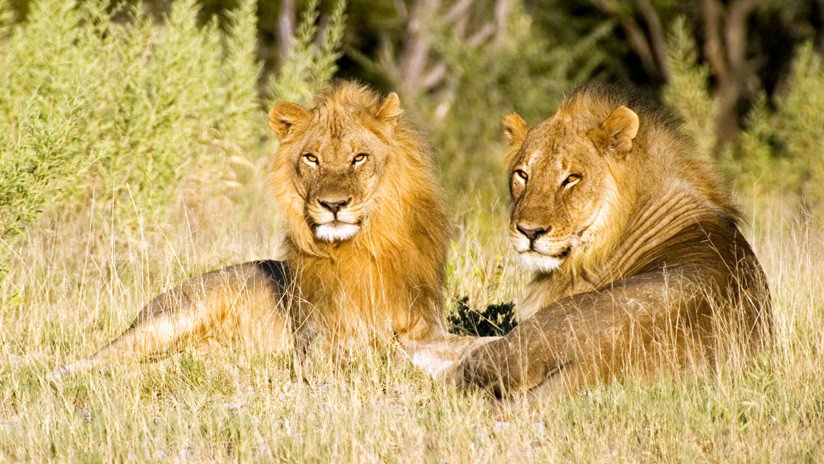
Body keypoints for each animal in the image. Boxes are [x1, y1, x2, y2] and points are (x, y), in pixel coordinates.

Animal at [57, 82, 476, 375]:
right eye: (312, 158)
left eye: (359, 158)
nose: (333, 206)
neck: (363, 246)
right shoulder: (319, 344)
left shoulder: (424, 326)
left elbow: (460, 343)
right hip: (172, 320)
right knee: (95, 360)